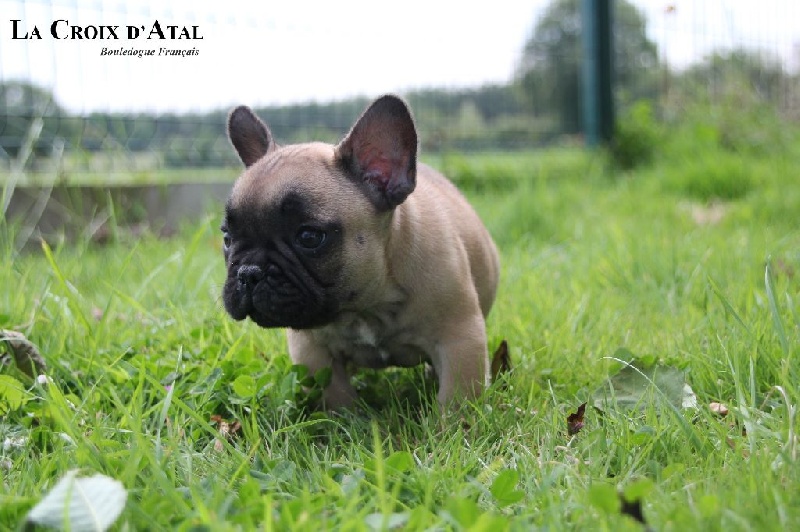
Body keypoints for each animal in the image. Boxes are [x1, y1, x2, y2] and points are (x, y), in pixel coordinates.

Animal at [221, 95, 499, 409]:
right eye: (227, 237)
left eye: (309, 237)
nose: (248, 273)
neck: (369, 305)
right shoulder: (311, 350)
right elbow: (336, 394)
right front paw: (348, 418)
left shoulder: (460, 340)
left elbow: (457, 398)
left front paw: (452, 422)